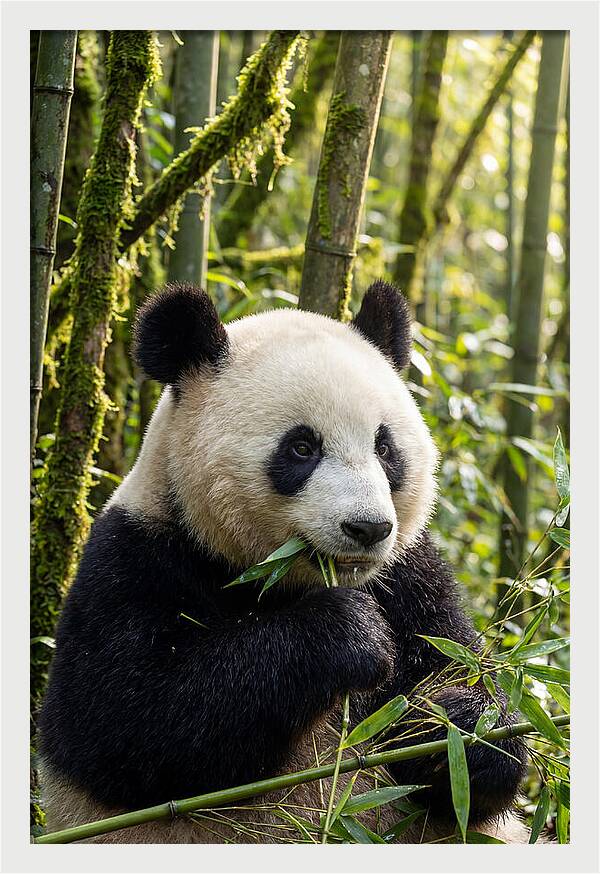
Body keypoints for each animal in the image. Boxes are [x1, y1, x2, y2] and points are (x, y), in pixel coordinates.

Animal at [38, 280, 529, 844]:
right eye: (301, 447)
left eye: (385, 448)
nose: (367, 528)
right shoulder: (135, 560)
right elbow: (130, 724)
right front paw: (351, 634)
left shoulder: (411, 576)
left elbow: (462, 691)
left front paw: (458, 726)